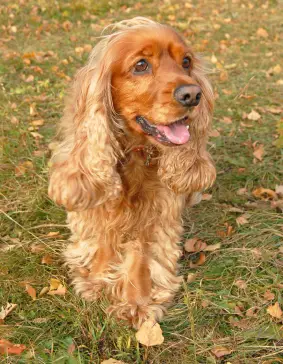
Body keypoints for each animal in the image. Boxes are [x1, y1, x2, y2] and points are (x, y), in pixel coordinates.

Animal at [49, 17, 217, 328]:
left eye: (186, 61)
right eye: (141, 65)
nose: (193, 95)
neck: (136, 152)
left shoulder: (158, 210)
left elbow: (141, 253)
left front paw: (137, 302)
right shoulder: (100, 197)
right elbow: (103, 237)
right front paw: (97, 279)